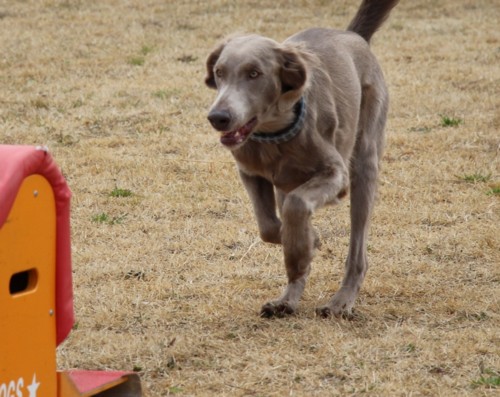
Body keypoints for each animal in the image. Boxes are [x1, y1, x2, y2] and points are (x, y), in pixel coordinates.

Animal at [203, 0, 398, 316]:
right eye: (220, 72)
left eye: (254, 74)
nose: (218, 117)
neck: (274, 134)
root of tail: (351, 35)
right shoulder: (251, 173)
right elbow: (269, 227)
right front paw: (308, 241)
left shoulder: (335, 175)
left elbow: (296, 207)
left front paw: (305, 244)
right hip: (287, 182)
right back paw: (286, 300)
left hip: (365, 159)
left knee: (357, 251)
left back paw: (341, 301)